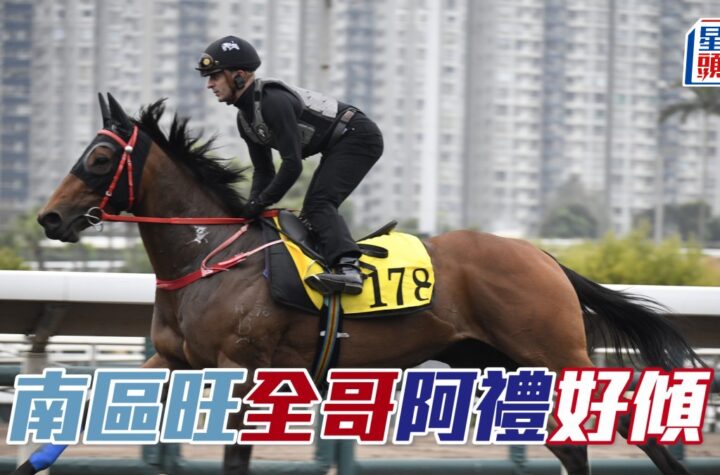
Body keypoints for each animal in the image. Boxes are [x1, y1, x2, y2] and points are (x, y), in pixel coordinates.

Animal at [29, 93, 703, 475]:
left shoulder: (242, 369)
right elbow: (85, 409)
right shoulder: (174, 360)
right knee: (572, 448)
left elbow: (236, 456)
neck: (208, 256)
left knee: (628, 423)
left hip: (555, 353)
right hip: (504, 363)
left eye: (97, 158)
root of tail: (543, 256)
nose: (49, 219)